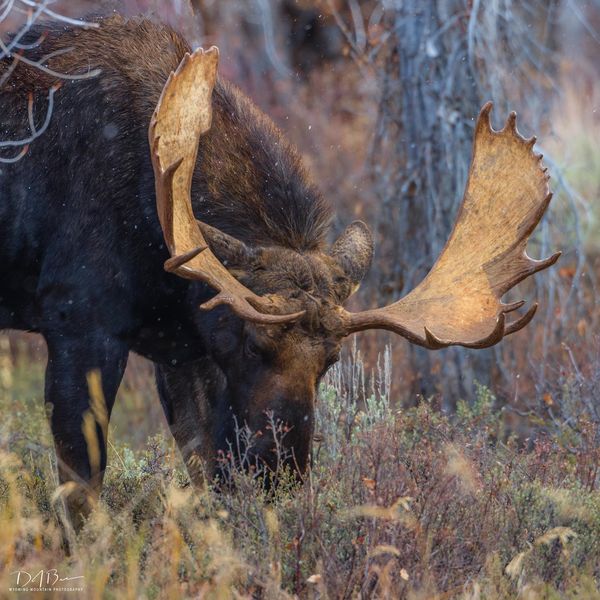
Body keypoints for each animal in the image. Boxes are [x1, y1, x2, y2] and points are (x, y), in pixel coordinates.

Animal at [1, 16, 564, 528]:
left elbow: (207, 477)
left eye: (331, 362)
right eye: (253, 344)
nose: (281, 471)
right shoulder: (79, 323)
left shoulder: (183, 351)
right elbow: (81, 492)